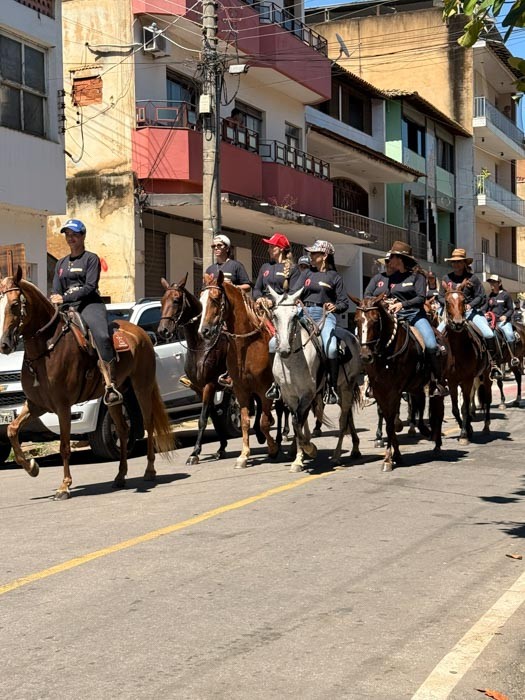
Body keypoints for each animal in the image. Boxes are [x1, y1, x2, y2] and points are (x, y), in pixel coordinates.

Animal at [0, 267, 174, 498]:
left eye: (14, 304)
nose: (4, 344)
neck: (46, 349)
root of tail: (142, 333)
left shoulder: (63, 406)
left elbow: (65, 446)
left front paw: (64, 485)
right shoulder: (37, 404)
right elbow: (12, 430)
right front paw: (32, 467)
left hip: (142, 387)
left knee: (148, 423)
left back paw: (149, 470)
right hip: (116, 398)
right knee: (122, 430)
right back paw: (120, 476)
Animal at [199, 272, 278, 468]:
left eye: (215, 298)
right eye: (200, 300)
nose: (204, 331)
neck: (247, 345)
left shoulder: (265, 389)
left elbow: (265, 422)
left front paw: (273, 448)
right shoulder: (241, 390)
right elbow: (245, 422)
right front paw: (244, 455)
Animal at [267, 287, 362, 471]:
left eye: (294, 316)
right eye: (274, 315)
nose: (284, 350)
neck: (293, 362)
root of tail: (352, 337)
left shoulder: (307, 394)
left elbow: (298, 421)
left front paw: (310, 449)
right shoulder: (290, 396)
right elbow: (297, 423)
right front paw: (298, 458)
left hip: (346, 388)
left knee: (343, 420)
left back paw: (337, 456)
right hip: (340, 390)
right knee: (348, 416)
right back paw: (355, 448)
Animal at [351, 294, 444, 471]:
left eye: (375, 320)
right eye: (356, 320)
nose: (365, 356)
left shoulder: (395, 390)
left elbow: (391, 422)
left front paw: (388, 458)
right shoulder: (380, 390)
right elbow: (388, 419)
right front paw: (395, 455)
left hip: (434, 384)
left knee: (437, 410)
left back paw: (436, 444)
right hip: (415, 386)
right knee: (420, 404)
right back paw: (422, 429)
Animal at [442, 287, 492, 444]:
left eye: (464, 301)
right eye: (447, 301)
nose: (458, 323)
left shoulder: (467, 379)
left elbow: (464, 407)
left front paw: (464, 434)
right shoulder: (451, 381)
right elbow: (455, 408)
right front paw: (467, 429)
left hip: (486, 376)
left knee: (487, 399)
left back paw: (486, 426)